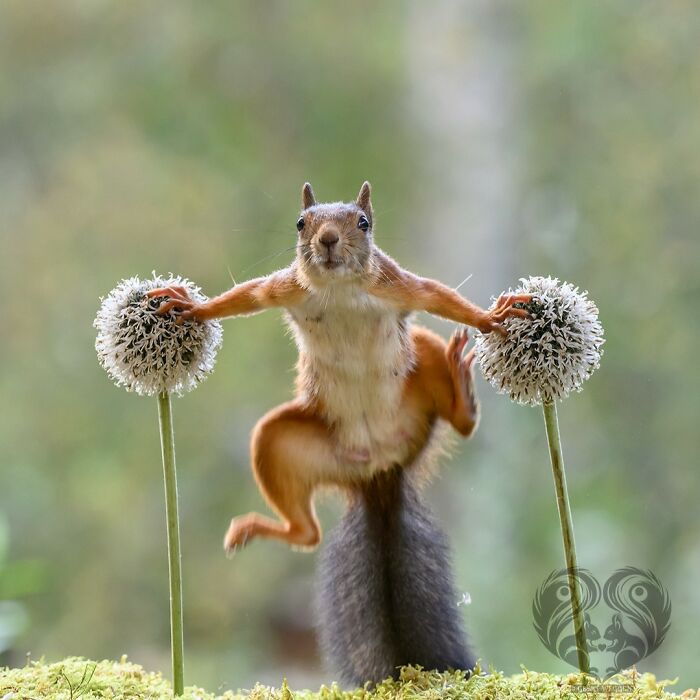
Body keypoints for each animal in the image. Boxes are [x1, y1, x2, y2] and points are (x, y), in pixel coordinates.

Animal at [148, 182, 529, 684]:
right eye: (300, 223)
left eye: (363, 223)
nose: (327, 239)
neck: (339, 290)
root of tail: (379, 472)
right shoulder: (286, 287)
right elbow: (247, 295)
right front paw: (193, 306)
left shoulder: (396, 284)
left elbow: (437, 295)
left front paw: (490, 319)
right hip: (278, 443)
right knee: (306, 533)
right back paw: (255, 529)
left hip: (420, 360)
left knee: (459, 420)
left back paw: (461, 390)